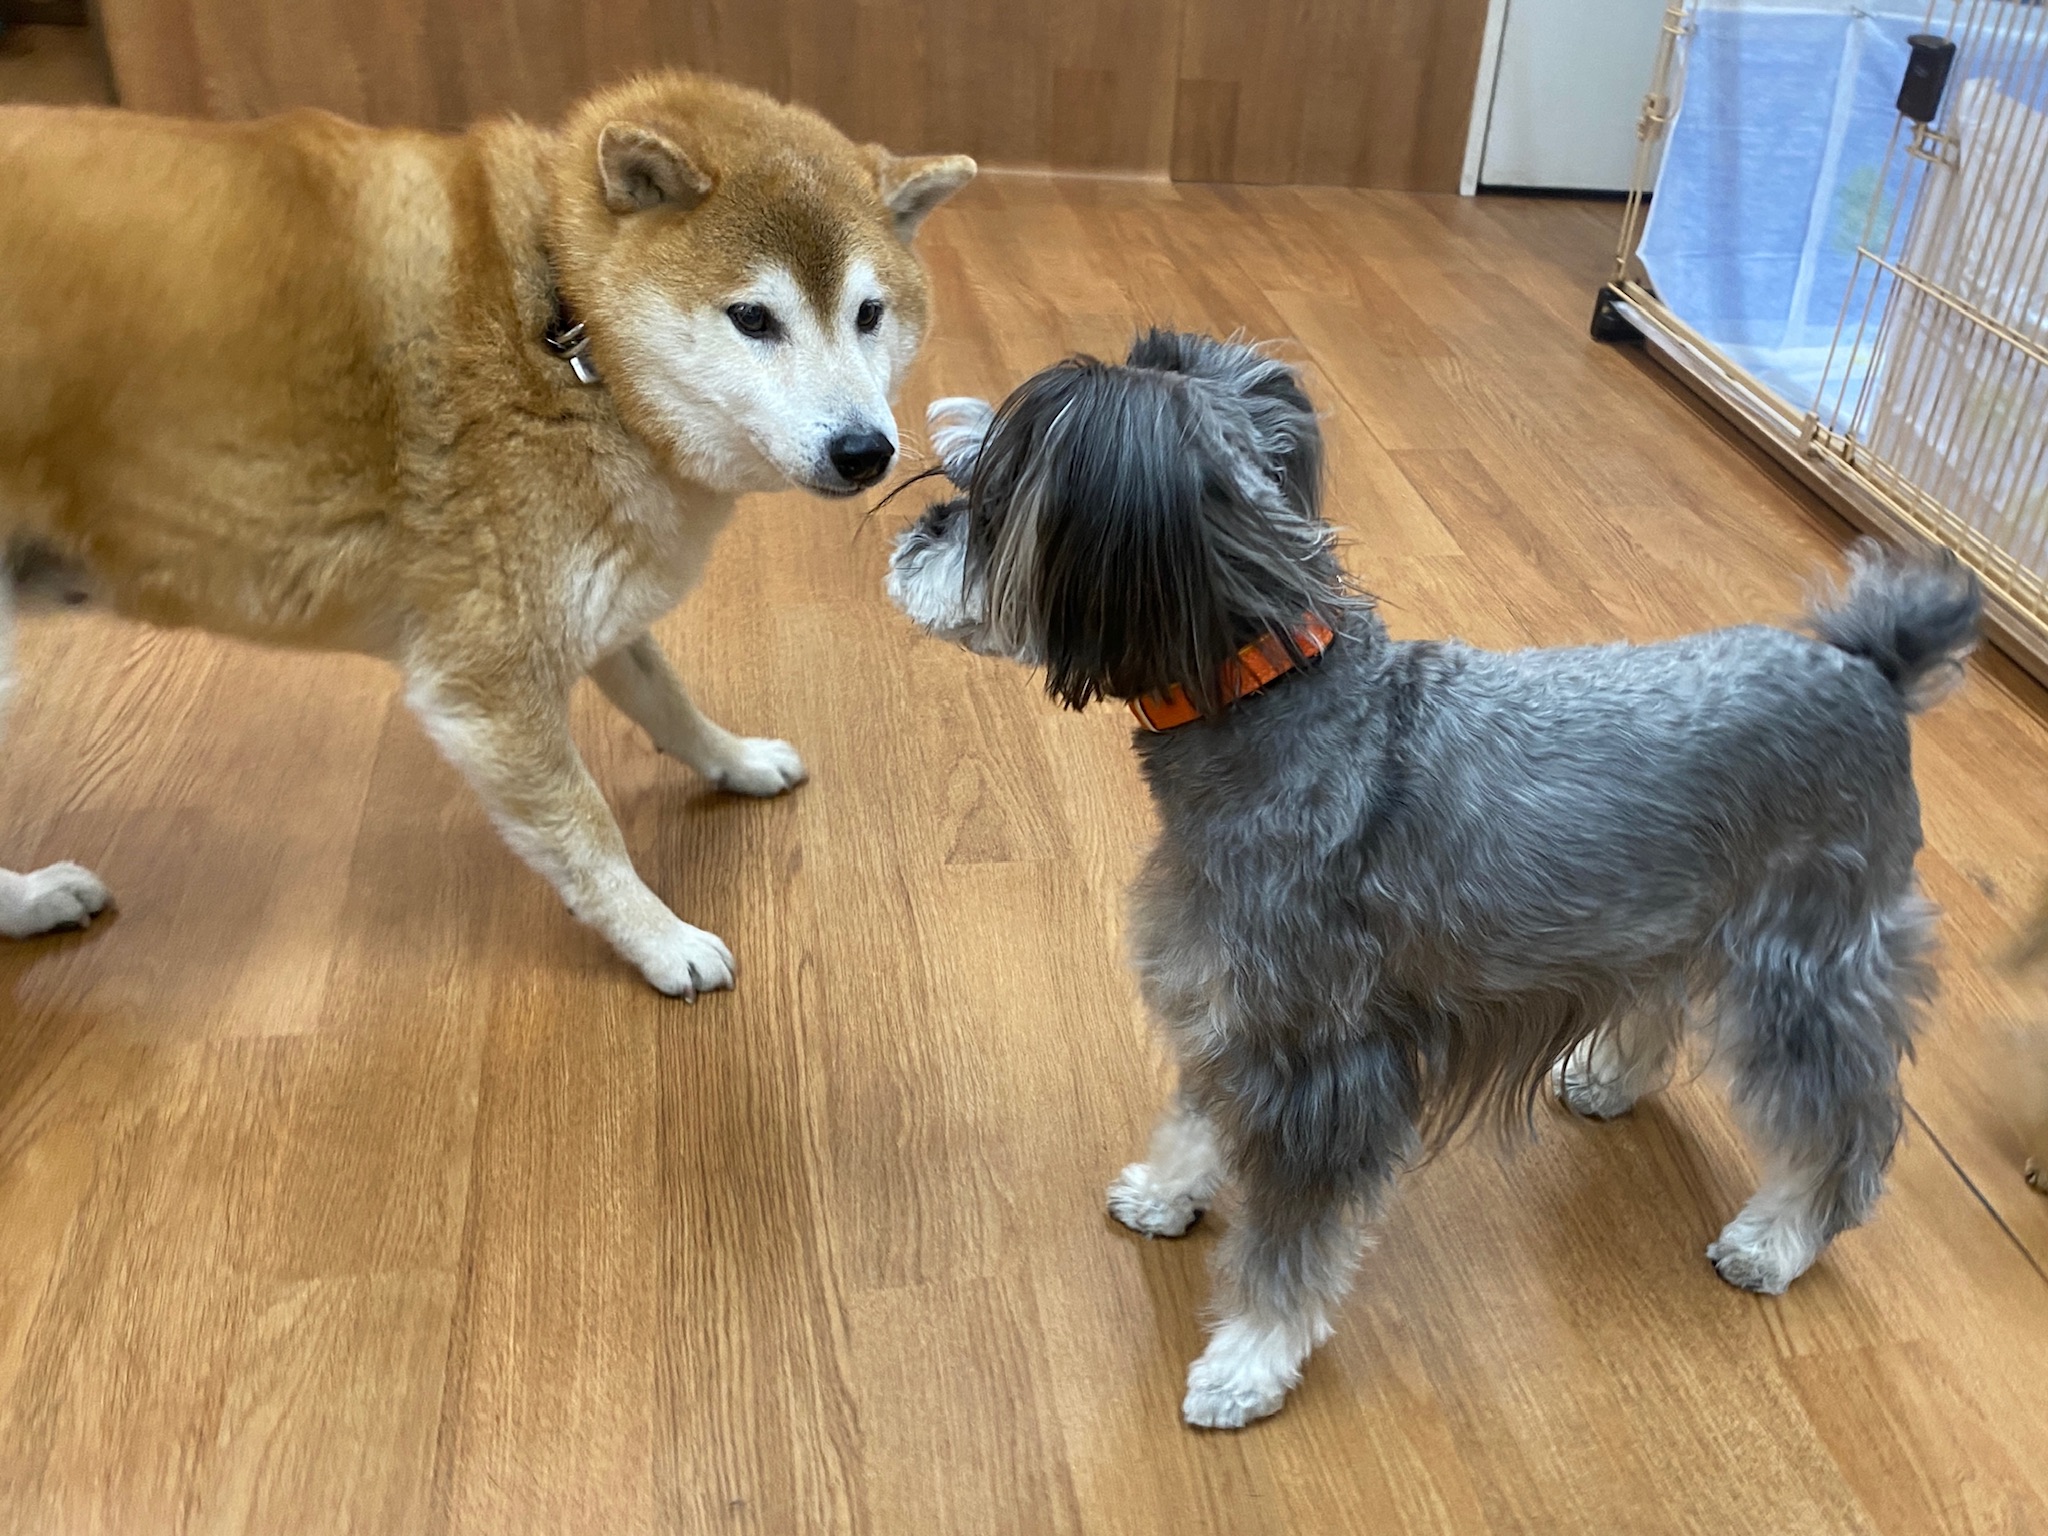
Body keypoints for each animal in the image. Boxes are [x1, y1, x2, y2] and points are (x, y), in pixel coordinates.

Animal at [0, 73, 973, 994]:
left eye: (870, 314)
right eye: (752, 318)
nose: (866, 450)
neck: (566, 327)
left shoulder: (593, 587)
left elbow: (667, 700)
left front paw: (733, 761)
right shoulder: (489, 681)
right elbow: (588, 834)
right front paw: (661, 942)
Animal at [886, 331, 1982, 1428]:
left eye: (989, 499)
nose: (913, 536)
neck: (1276, 700)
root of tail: (1870, 674)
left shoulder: (1317, 1063)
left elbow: (1286, 1240)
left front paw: (1247, 1361)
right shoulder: (1226, 1001)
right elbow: (1194, 1111)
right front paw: (1167, 1191)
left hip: (1803, 967)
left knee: (1842, 1123)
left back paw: (1777, 1238)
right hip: (1666, 917)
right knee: (1661, 1002)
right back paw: (1608, 1078)